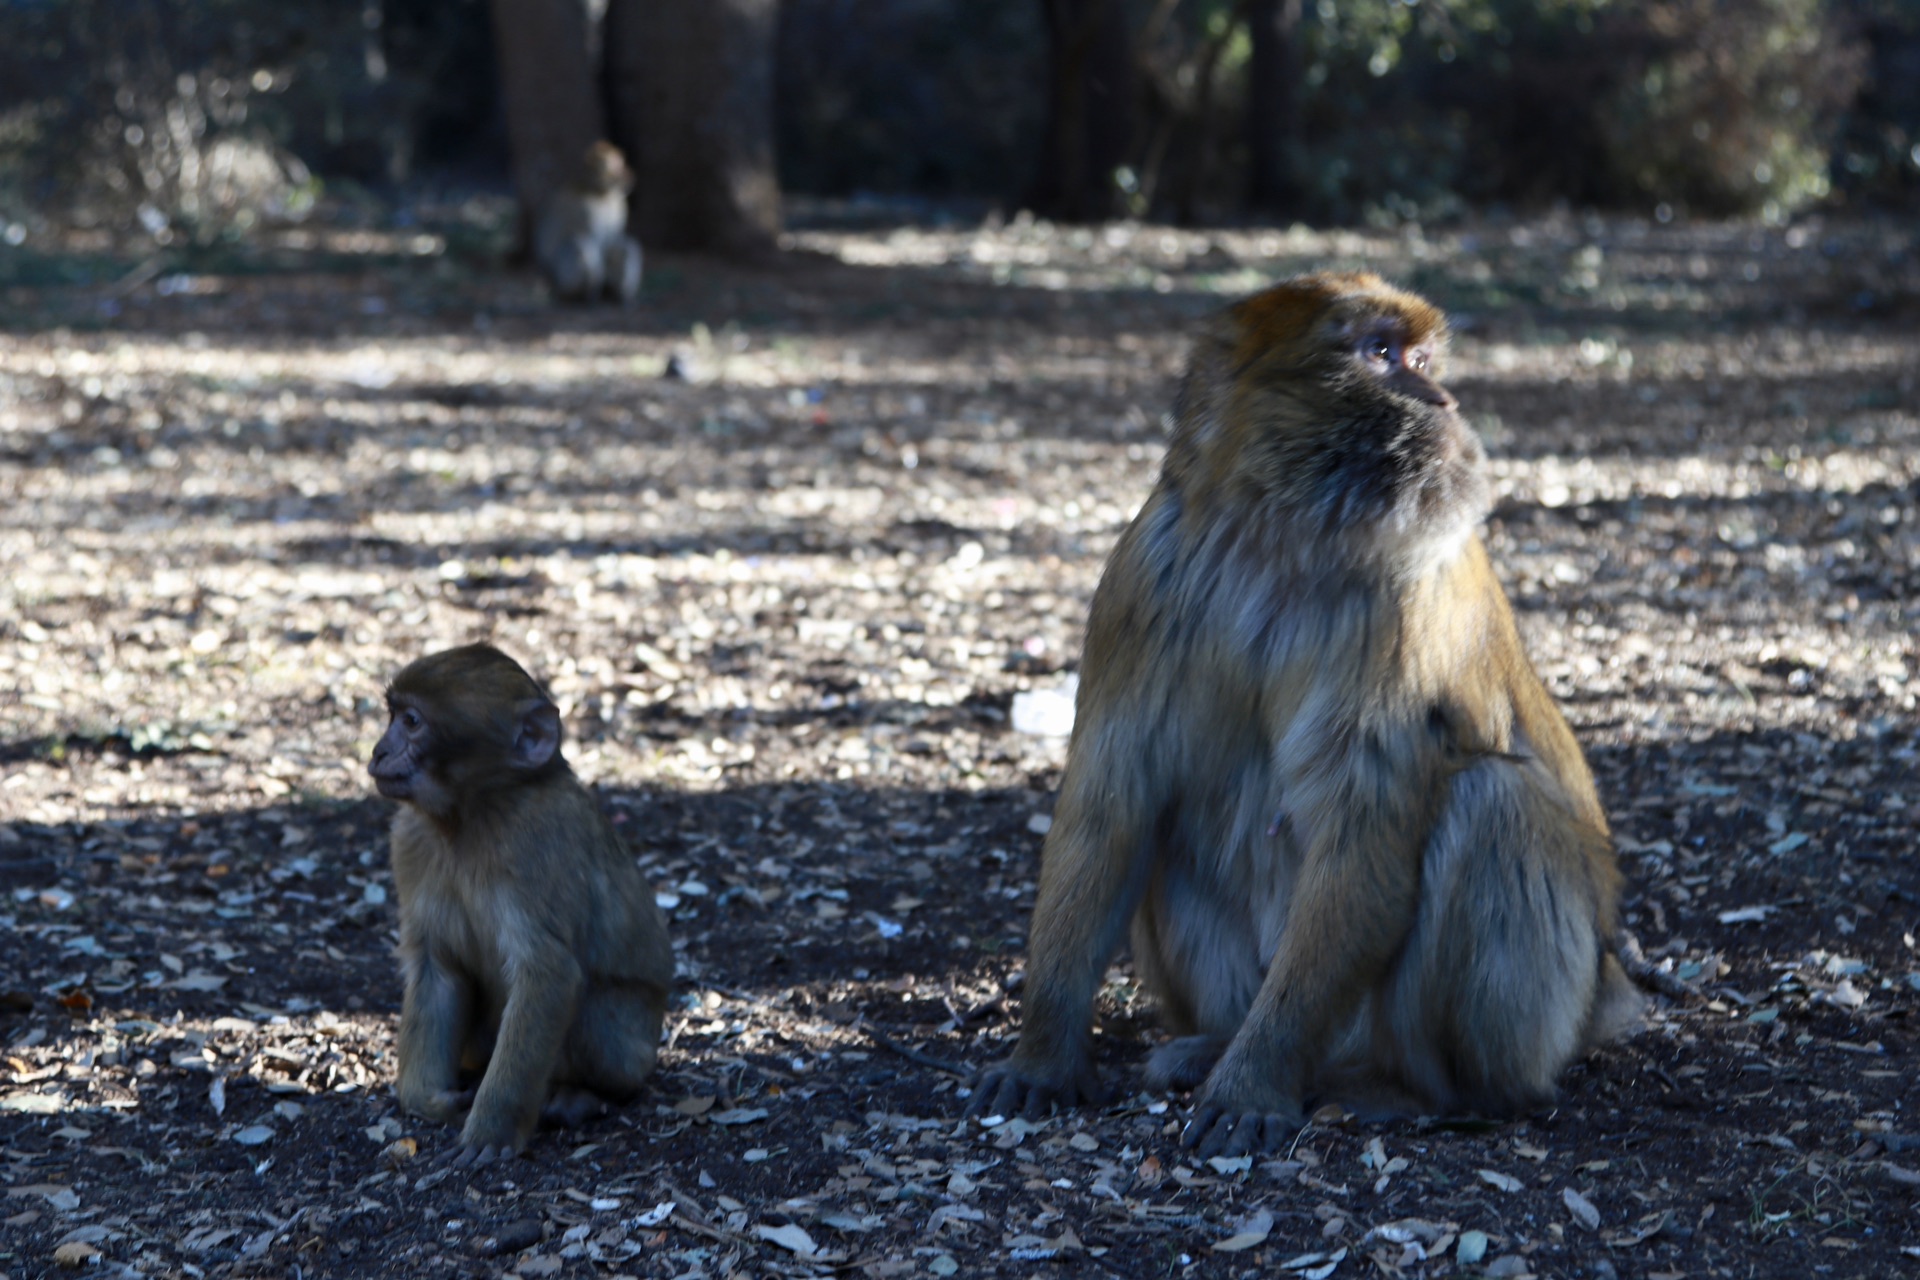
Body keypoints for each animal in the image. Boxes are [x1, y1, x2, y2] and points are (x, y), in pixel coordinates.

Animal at [368, 640, 675, 1159]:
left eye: (411, 721)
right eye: (394, 716)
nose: (379, 750)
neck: (471, 816)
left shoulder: (538, 840)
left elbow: (550, 974)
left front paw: (493, 1128)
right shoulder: (409, 839)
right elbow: (437, 968)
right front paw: (430, 1100)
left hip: (632, 1052)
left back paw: (574, 1098)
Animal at [533, 141, 645, 307]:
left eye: (621, 162)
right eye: (615, 165)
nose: (628, 174)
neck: (601, 193)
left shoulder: (619, 205)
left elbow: (611, 243)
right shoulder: (585, 210)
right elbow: (592, 242)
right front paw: (592, 290)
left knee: (626, 247)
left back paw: (617, 294)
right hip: (560, 279)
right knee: (578, 244)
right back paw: (578, 295)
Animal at [975, 276, 1635, 1159]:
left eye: (1423, 360)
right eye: (1381, 354)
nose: (1444, 400)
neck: (1281, 536)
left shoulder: (1405, 611)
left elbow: (1364, 839)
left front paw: (1253, 1084)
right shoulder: (1144, 580)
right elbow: (1112, 807)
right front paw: (1044, 1054)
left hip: (1525, 1019)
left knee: (1490, 801)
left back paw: (1416, 1092)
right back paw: (1217, 1043)